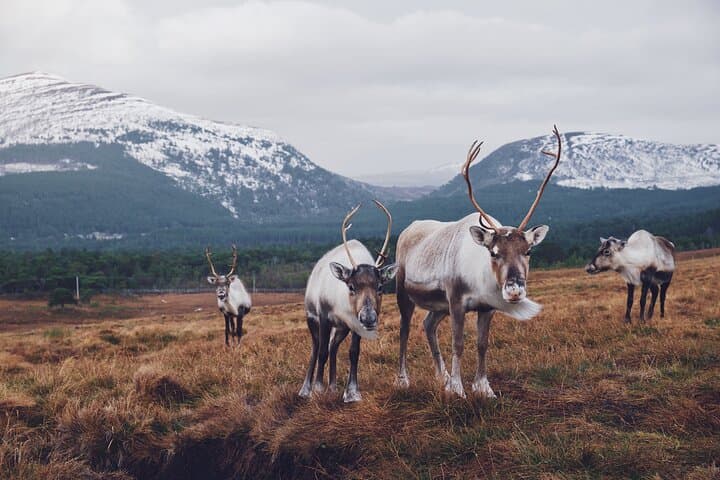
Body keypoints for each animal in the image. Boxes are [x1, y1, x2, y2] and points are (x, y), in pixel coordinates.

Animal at [299, 200, 397, 402]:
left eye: (380, 287)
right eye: (351, 286)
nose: (368, 317)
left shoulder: (353, 324)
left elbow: (353, 352)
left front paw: (352, 392)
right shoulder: (323, 317)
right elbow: (321, 352)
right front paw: (317, 389)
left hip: (341, 328)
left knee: (333, 347)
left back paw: (332, 387)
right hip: (311, 318)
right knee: (316, 348)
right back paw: (305, 389)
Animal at [395, 125, 562, 398]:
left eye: (528, 251)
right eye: (493, 252)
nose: (514, 290)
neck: (478, 280)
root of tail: (408, 229)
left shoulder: (486, 307)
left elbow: (482, 344)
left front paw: (483, 387)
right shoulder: (456, 301)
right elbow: (458, 343)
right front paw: (458, 389)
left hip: (438, 305)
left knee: (428, 325)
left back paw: (442, 377)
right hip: (404, 292)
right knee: (405, 329)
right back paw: (403, 380)